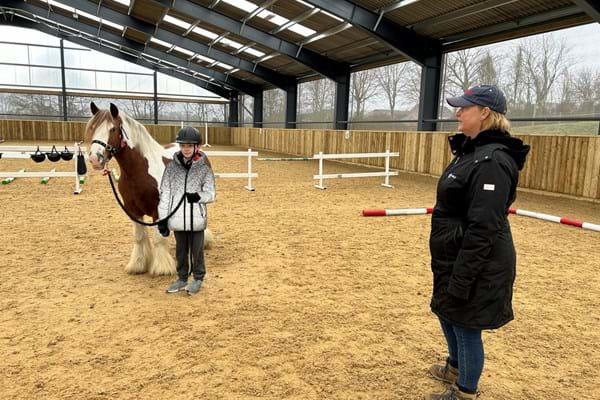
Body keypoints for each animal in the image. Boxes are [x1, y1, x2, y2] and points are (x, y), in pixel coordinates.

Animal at [86, 101, 213, 276]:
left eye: (113, 129)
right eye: (93, 127)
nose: (94, 158)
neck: (139, 171)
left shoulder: (157, 210)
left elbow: (158, 238)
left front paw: (162, 268)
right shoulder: (133, 211)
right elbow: (139, 237)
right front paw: (138, 265)